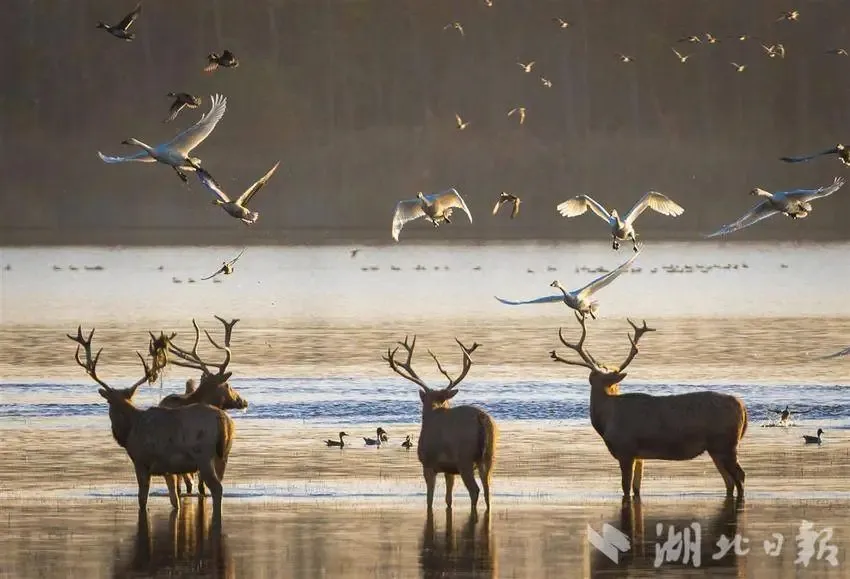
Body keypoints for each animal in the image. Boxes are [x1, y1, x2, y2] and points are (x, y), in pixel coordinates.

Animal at [68, 326, 235, 513]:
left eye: (109, 401)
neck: (129, 431)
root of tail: (223, 420)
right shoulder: (168, 469)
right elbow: (174, 500)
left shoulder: (141, 461)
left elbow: (142, 499)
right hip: (224, 455)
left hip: (203, 455)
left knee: (216, 488)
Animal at [383, 336, 497, 513]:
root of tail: (481, 418)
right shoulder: (449, 469)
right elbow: (448, 499)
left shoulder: (428, 463)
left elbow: (429, 499)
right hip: (489, 456)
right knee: (488, 490)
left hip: (465, 457)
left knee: (475, 490)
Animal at [550, 313, 747, 499]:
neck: (606, 421)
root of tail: (743, 408)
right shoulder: (639, 455)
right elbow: (637, 488)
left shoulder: (625, 448)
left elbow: (626, 487)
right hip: (716, 448)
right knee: (729, 482)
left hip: (725, 443)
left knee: (740, 476)